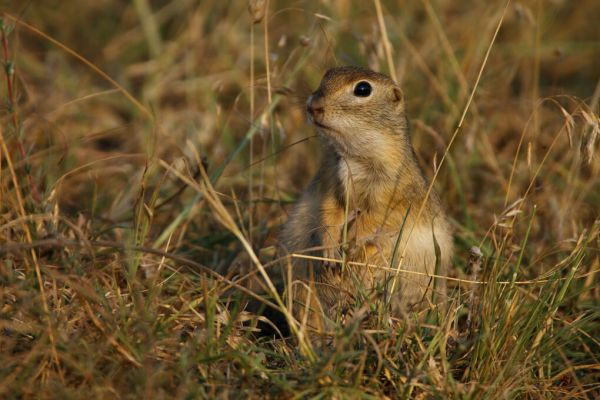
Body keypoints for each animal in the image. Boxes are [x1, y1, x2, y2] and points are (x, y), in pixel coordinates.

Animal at [278, 65, 452, 328]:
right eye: (327, 74)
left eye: (363, 89)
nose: (313, 105)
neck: (352, 154)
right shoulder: (329, 181)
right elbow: (329, 211)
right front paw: (331, 250)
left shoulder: (392, 193)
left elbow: (375, 219)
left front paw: (351, 244)